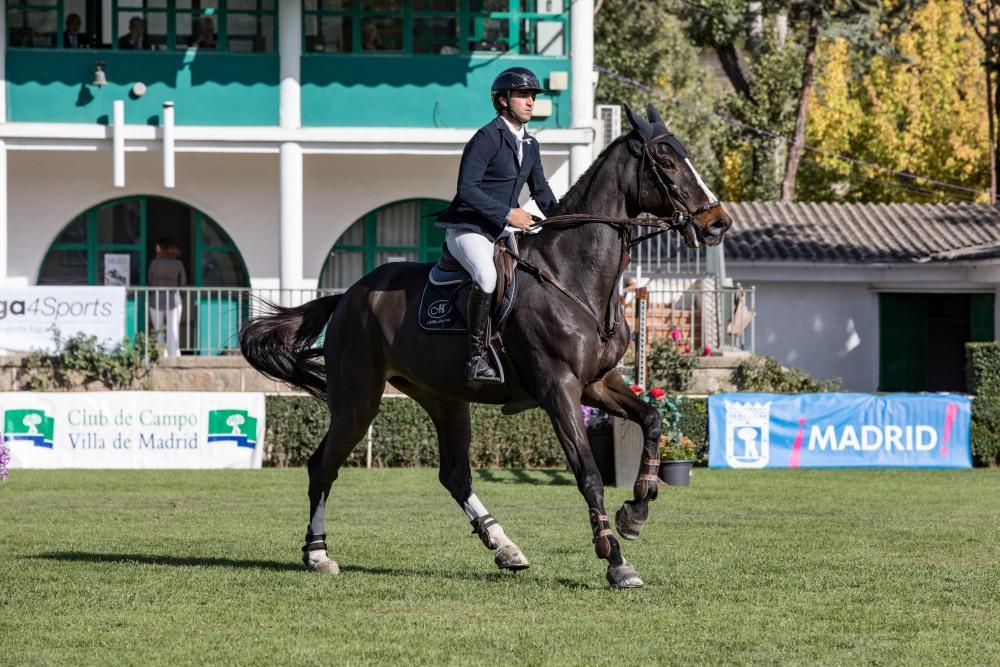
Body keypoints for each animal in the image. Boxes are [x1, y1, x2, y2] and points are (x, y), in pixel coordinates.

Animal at [237, 102, 732, 588]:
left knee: (454, 474)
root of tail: (347, 297)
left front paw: (637, 509)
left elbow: (651, 420)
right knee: (323, 466)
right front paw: (615, 558)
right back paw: (318, 554)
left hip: (444, 398)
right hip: (359, 401)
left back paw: (504, 546)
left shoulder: (597, 383)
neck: (574, 275)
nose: (718, 223)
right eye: (666, 163)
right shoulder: (559, 389)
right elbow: (589, 473)